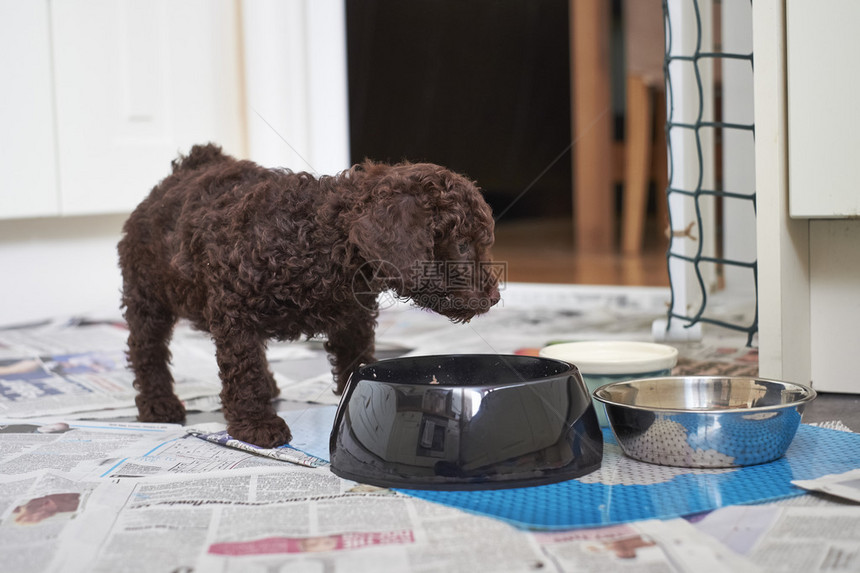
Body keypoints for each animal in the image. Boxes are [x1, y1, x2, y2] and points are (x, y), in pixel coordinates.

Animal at [117, 143, 500, 446]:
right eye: (463, 245)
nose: (495, 297)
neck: (322, 240)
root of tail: (186, 168)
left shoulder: (353, 320)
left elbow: (355, 362)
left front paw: (360, 403)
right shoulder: (234, 311)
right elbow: (244, 369)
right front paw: (255, 424)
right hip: (146, 293)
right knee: (146, 349)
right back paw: (157, 403)